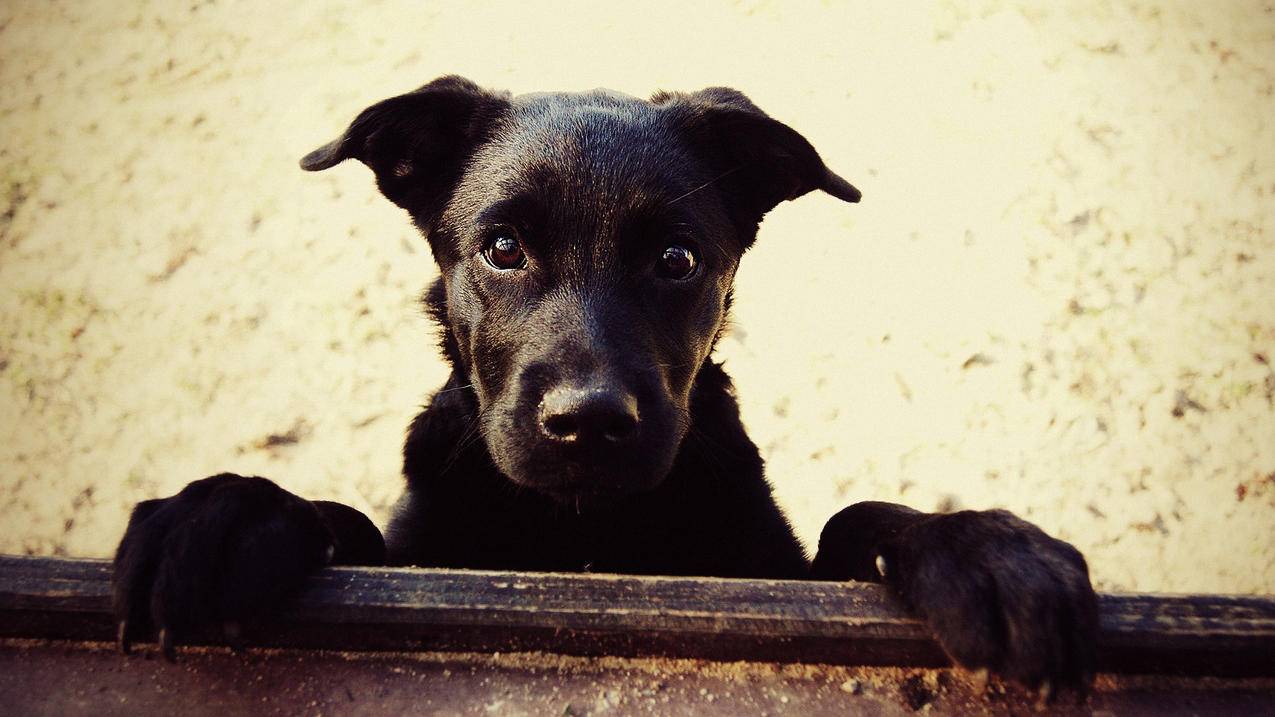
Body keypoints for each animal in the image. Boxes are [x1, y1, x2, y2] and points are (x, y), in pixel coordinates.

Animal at [112, 76, 1096, 694]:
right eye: (502, 247)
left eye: (676, 259)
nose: (586, 421)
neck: (584, 529)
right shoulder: (415, 547)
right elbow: (344, 521)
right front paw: (226, 510)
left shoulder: (775, 569)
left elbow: (856, 519)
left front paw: (986, 551)